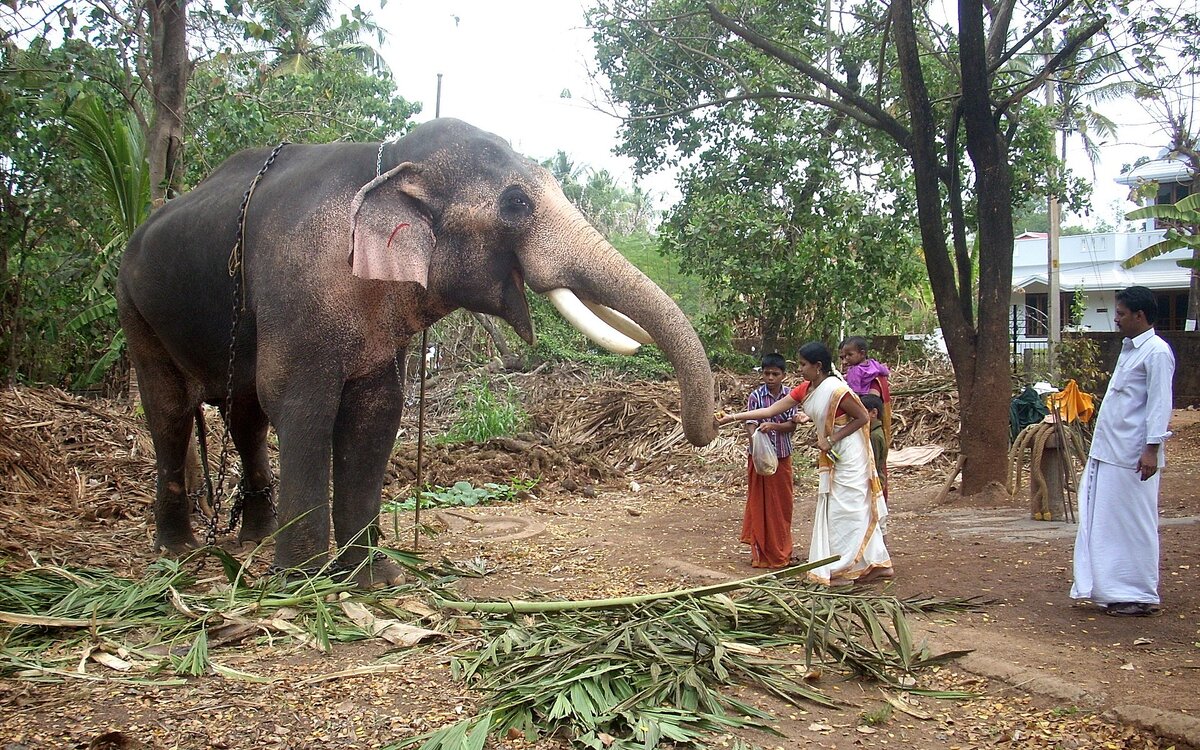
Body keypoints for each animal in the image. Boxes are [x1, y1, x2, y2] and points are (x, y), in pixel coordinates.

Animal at [117, 118, 715, 585]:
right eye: (516, 203)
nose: (702, 434)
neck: (386, 163)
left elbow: (377, 414)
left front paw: (376, 579)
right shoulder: (296, 285)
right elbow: (302, 404)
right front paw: (301, 585)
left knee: (245, 416)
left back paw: (254, 539)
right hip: (135, 308)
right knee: (170, 411)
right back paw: (179, 549)